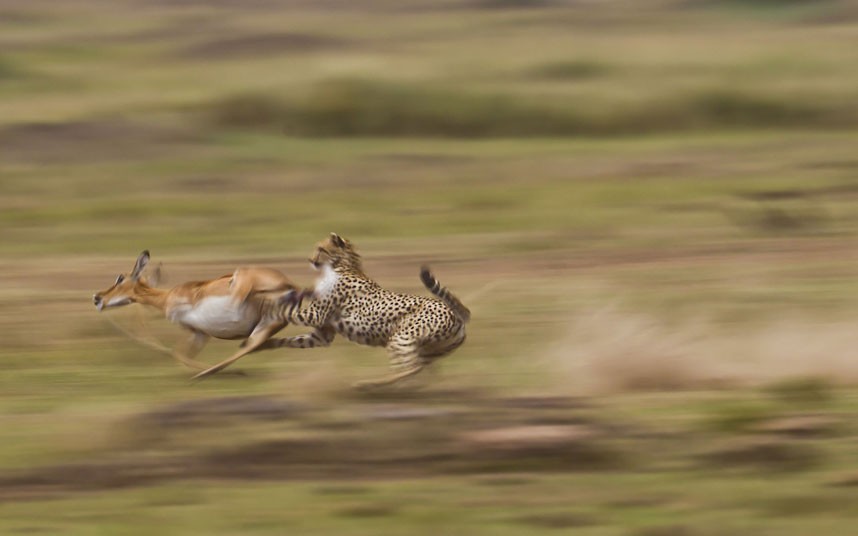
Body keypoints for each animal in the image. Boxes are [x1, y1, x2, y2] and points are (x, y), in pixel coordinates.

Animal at [280, 232, 468, 388]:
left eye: (321, 249)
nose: (310, 260)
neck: (343, 265)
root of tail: (455, 313)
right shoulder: (323, 334)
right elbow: (295, 339)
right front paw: (273, 343)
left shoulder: (314, 315)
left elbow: (285, 311)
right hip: (429, 350)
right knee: (422, 368)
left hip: (400, 338)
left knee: (410, 368)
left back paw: (370, 383)